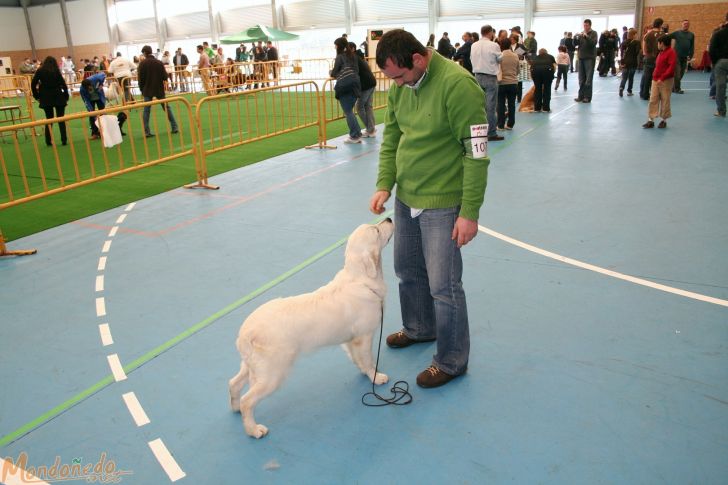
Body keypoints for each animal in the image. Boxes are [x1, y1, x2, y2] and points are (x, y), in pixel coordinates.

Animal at [230, 217, 396, 436]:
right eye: (376, 231)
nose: (389, 218)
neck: (361, 278)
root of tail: (245, 332)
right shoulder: (364, 336)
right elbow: (368, 360)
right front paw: (376, 377)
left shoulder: (351, 340)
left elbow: (357, 358)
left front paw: (363, 371)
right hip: (272, 373)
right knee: (247, 401)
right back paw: (254, 430)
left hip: (251, 365)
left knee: (233, 384)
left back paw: (234, 408)